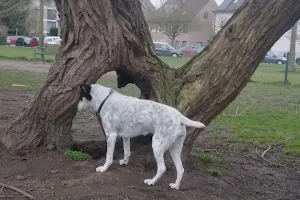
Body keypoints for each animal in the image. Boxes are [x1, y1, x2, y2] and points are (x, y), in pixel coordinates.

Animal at [77, 83, 206, 190]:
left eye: (80, 96)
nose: (77, 108)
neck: (105, 99)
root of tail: (179, 116)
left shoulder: (111, 136)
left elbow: (108, 156)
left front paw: (103, 169)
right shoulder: (125, 137)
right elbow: (127, 152)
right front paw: (125, 162)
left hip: (157, 145)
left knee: (162, 168)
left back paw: (151, 181)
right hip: (175, 149)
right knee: (181, 169)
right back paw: (175, 186)